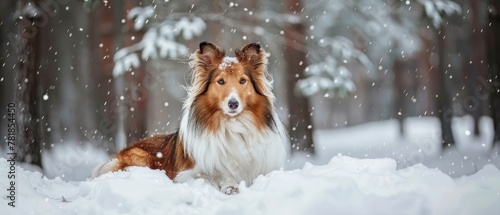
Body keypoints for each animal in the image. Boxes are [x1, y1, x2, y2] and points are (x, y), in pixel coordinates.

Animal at [94, 41, 288, 194]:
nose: (233, 104)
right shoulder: (188, 173)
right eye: (220, 81)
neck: (234, 125)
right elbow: (218, 172)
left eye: (242, 81)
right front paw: (230, 185)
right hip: (141, 157)